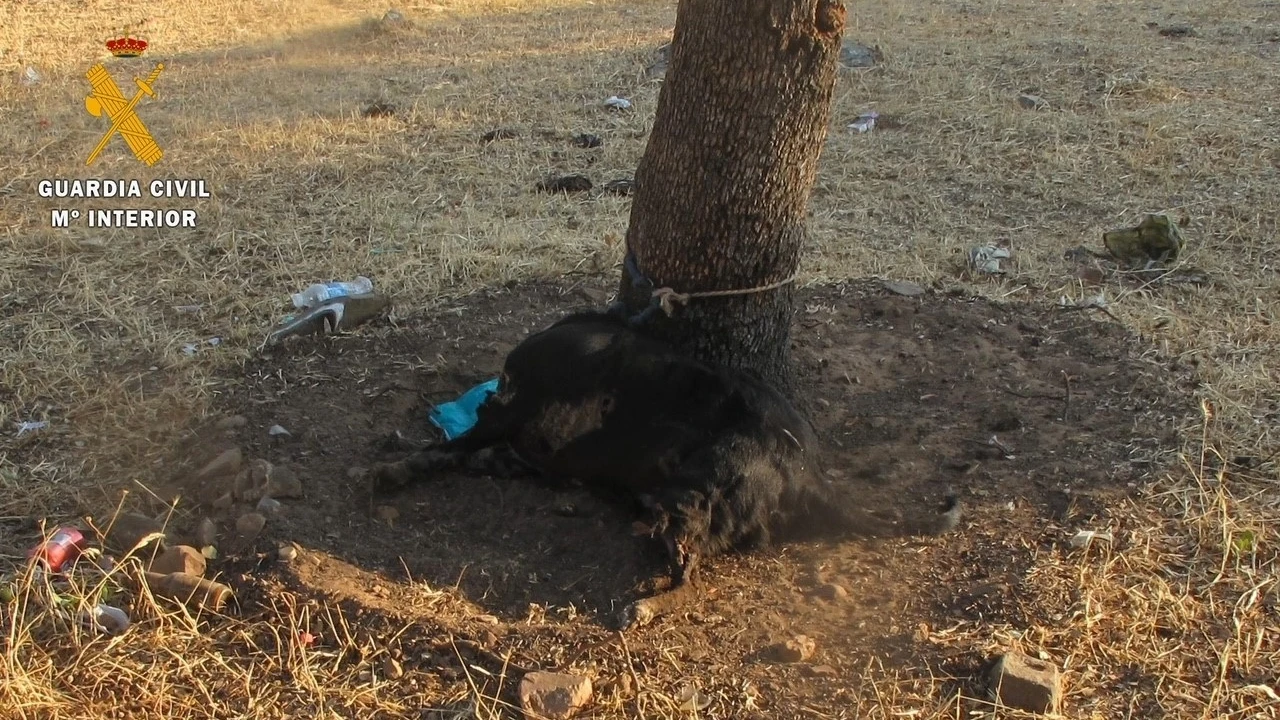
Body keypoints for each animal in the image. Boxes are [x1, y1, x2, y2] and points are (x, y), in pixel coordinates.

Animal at [366, 311, 957, 625]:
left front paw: (392, 470)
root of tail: (808, 473)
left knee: (689, 576)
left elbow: (448, 447)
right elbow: (465, 453)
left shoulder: (508, 419)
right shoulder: (517, 449)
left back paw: (645, 608)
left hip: (690, 499)